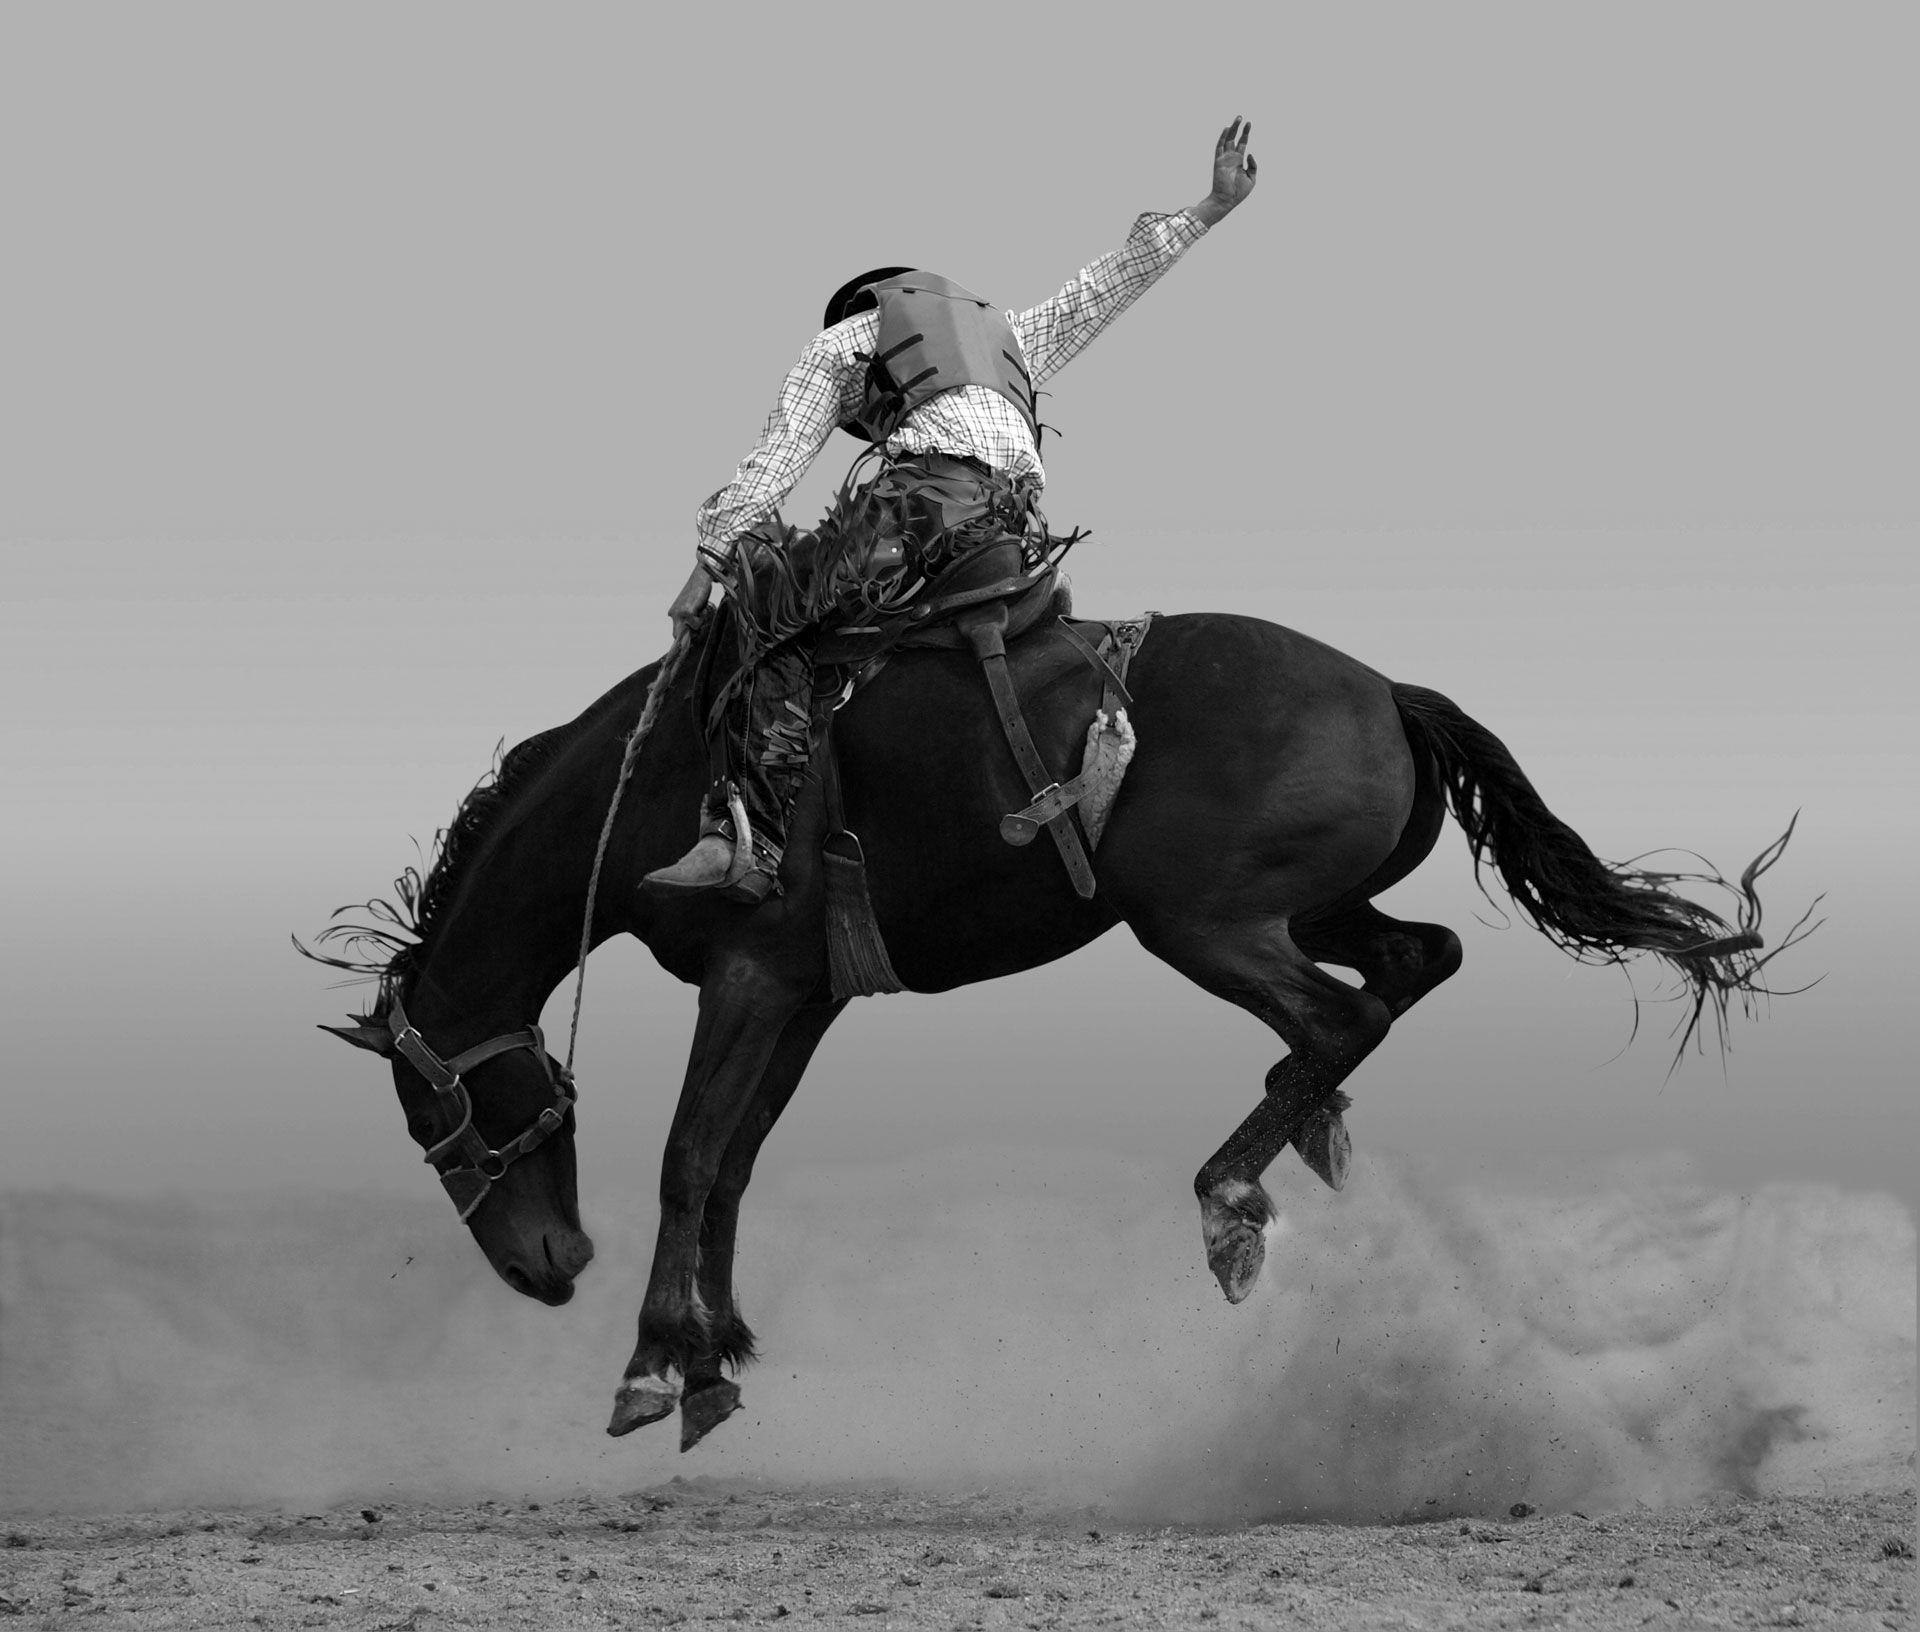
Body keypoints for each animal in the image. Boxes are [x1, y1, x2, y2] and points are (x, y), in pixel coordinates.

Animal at [304, 608, 1800, 1451]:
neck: (675, 771)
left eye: (438, 1121)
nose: (547, 1268)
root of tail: (1386, 692)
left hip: (1202, 919)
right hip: (1309, 905)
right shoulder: (802, 993)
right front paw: (715, 1355)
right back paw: (1290, 1141)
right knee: (1410, 964)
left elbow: (686, 1157)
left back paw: (1232, 1197)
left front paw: (652, 1360)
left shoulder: (746, 978)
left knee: (1344, 1010)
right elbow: (730, 1164)